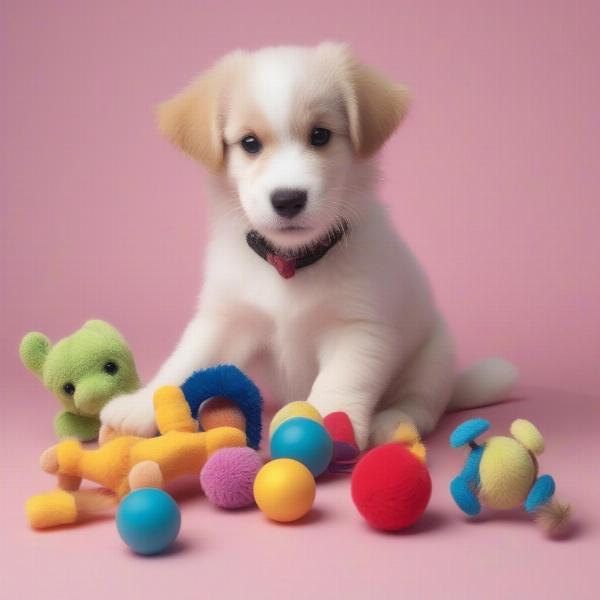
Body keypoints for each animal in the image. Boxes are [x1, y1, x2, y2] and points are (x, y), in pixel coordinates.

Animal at [101, 43, 516, 450]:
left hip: (433, 357)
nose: (288, 199)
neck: (289, 264)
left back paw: (394, 423)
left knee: (421, 404)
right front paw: (142, 404)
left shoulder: (358, 329)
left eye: (320, 136)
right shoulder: (225, 320)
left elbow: (339, 382)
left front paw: (327, 424)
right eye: (249, 143)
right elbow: (184, 362)